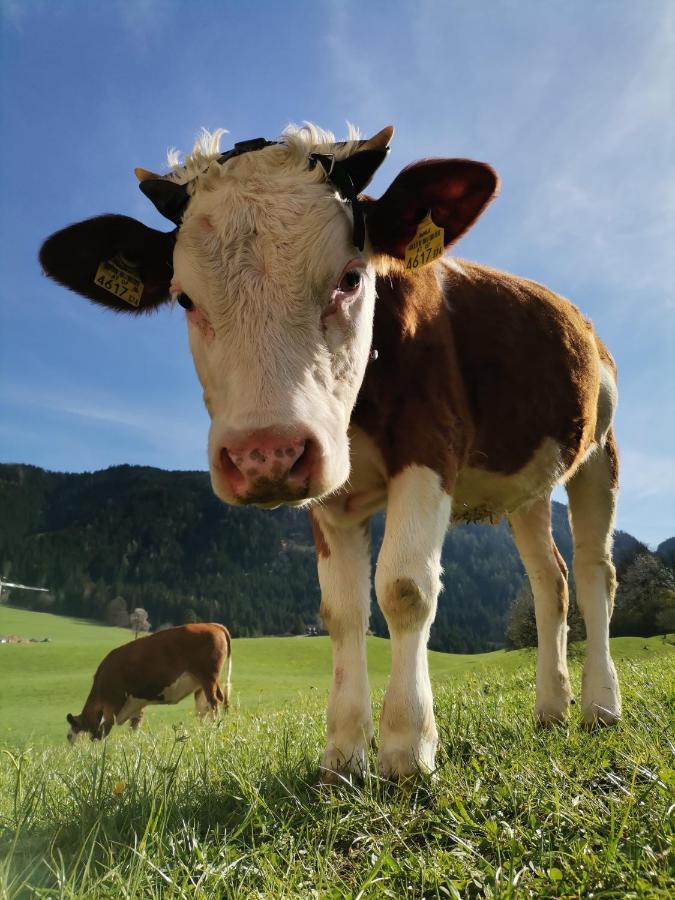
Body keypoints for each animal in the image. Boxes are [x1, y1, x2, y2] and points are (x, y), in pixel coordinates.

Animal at [65, 624, 231, 740]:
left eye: (68, 737)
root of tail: (213, 625)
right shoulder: (137, 703)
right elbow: (134, 725)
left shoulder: (112, 705)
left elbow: (104, 731)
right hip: (202, 683)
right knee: (205, 707)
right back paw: (203, 729)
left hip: (208, 678)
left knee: (214, 702)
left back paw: (213, 727)